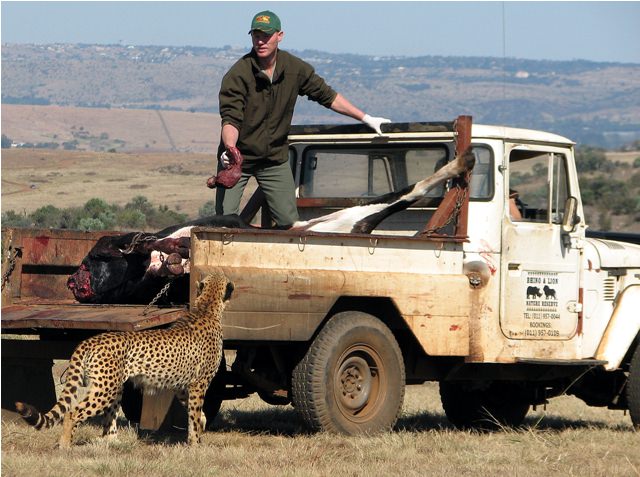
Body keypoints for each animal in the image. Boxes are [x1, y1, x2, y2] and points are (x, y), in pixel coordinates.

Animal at [15, 270, 233, 447]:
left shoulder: (181, 386)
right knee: (72, 413)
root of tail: (91, 340)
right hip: (104, 388)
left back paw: (114, 442)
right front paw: (195, 444)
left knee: (108, 421)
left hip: (114, 388)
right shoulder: (199, 383)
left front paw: (201, 425)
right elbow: (194, 414)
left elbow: (195, 411)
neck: (207, 307)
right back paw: (65, 445)